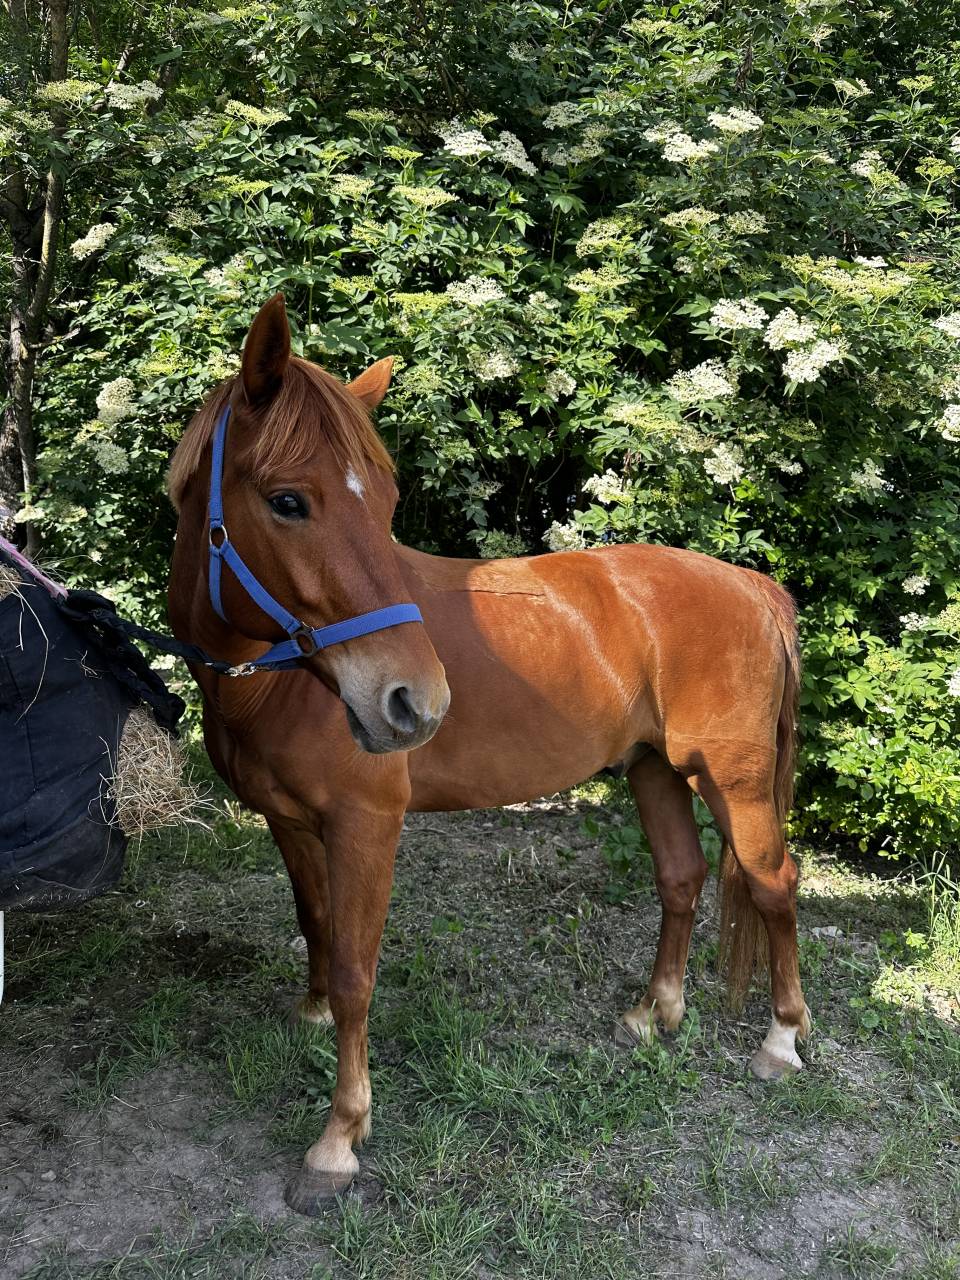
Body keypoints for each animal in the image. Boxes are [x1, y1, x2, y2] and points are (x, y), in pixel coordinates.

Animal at [167, 294, 810, 1215]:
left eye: (386, 504)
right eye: (288, 501)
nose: (416, 702)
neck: (278, 680)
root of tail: (752, 586)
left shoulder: (367, 825)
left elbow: (358, 969)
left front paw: (339, 1139)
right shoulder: (290, 825)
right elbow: (316, 925)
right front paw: (312, 1015)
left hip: (734, 782)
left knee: (773, 884)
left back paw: (782, 1040)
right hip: (653, 769)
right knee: (682, 878)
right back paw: (654, 1014)